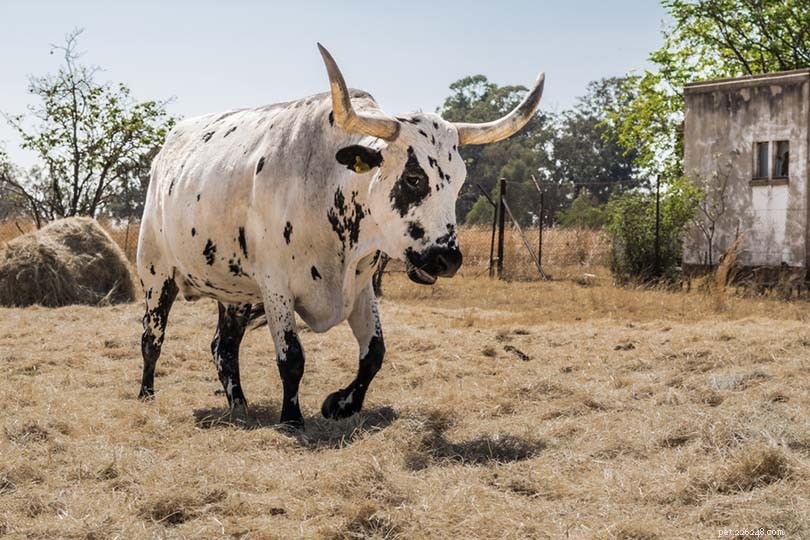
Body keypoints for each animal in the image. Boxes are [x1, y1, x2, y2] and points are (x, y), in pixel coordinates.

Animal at [136, 44, 545, 428]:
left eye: (459, 182)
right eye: (414, 178)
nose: (447, 258)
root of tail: (164, 154)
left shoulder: (360, 285)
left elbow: (375, 352)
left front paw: (341, 403)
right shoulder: (276, 286)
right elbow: (292, 357)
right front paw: (292, 418)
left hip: (234, 292)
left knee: (223, 347)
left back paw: (239, 405)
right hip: (156, 274)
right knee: (152, 338)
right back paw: (146, 396)